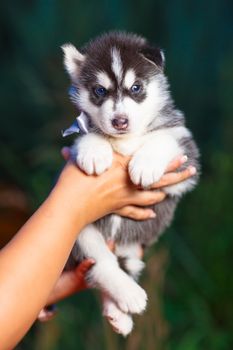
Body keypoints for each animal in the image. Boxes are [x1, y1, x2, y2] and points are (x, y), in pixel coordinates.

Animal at [62, 31, 200, 334]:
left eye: (136, 87)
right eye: (100, 91)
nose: (120, 121)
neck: (126, 140)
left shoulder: (186, 159)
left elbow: (163, 139)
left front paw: (145, 164)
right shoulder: (82, 130)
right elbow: (88, 135)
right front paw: (94, 150)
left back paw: (120, 312)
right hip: (78, 228)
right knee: (102, 264)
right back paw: (127, 296)